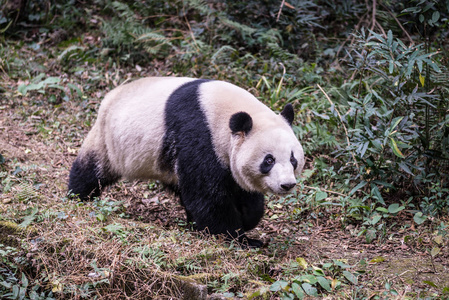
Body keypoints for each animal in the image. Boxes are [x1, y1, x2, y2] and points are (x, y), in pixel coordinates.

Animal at [68, 77, 304, 246]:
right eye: (269, 160)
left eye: (293, 159)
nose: (287, 185)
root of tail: (109, 96)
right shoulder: (199, 134)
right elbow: (207, 195)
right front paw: (237, 237)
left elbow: (241, 190)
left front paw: (247, 220)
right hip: (109, 139)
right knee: (92, 169)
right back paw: (78, 196)